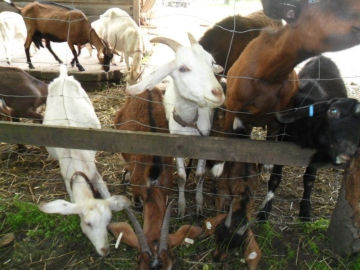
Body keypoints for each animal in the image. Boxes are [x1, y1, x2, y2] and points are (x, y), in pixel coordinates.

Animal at [41, 65, 131, 255]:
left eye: (108, 221)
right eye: (88, 223)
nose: (105, 250)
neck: (76, 161)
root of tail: (63, 76)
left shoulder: (94, 172)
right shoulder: (67, 180)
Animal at [125, 33, 224, 216]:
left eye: (211, 62)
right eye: (183, 68)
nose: (218, 93)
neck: (189, 122)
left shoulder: (206, 140)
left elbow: (200, 175)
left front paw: (199, 204)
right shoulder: (176, 144)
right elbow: (181, 177)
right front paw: (182, 206)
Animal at [258, 55, 360, 221]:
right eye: (333, 111)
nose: (350, 148)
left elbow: (309, 179)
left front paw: (305, 210)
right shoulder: (282, 141)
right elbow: (275, 177)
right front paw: (264, 211)